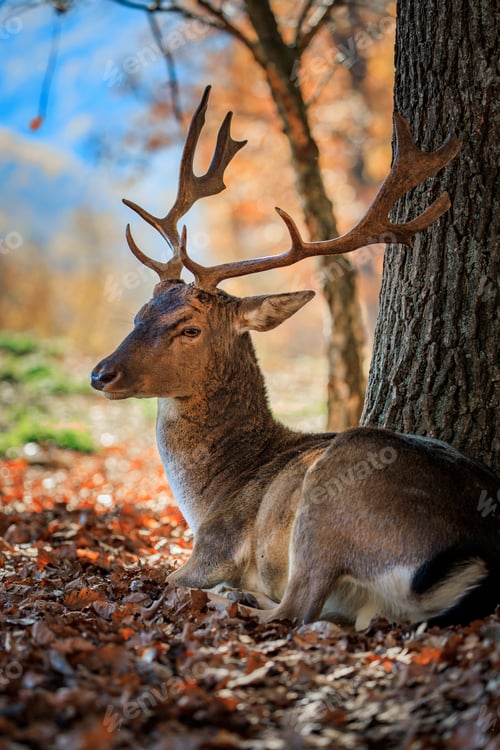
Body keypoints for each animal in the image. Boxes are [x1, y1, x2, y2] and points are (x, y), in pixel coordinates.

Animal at [91, 87, 499, 630]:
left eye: (189, 328)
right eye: (140, 313)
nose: (101, 374)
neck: (210, 495)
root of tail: (472, 560)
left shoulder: (213, 546)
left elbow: (162, 576)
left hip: (332, 493)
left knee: (296, 608)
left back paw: (235, 597)